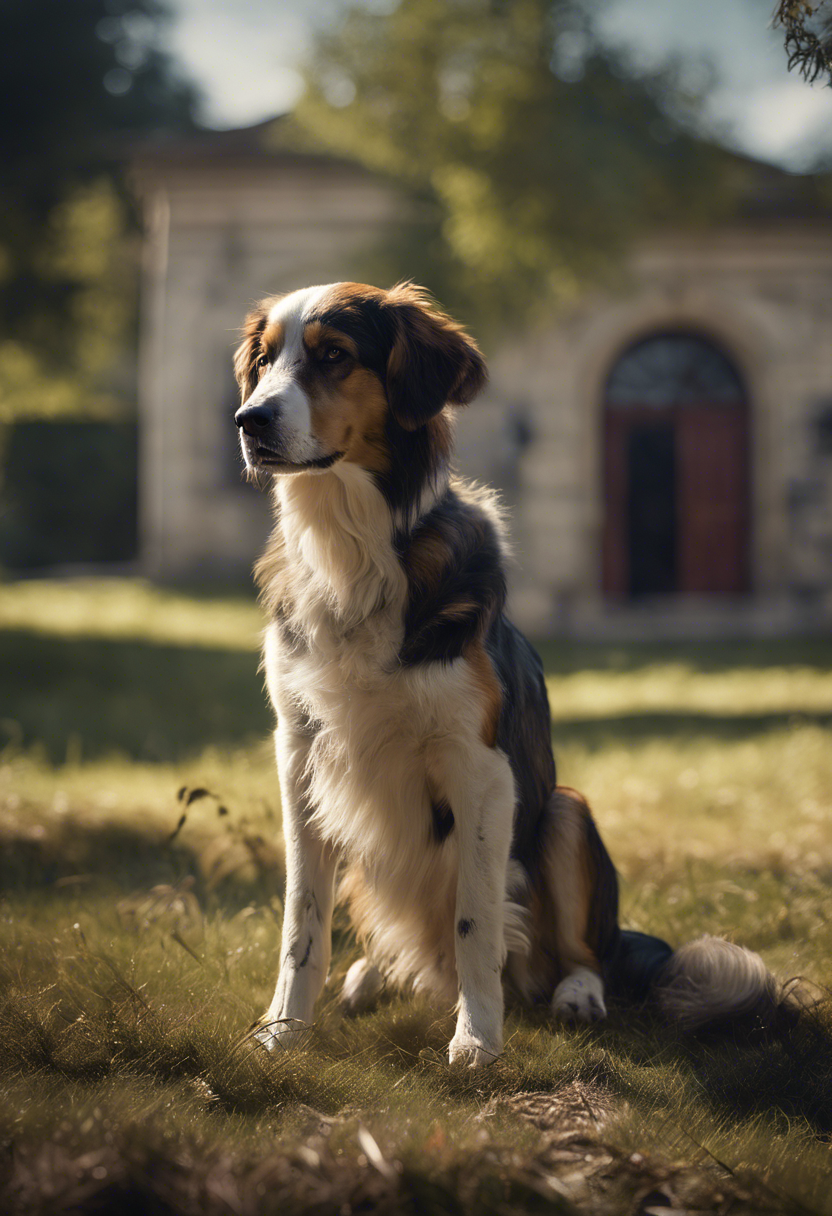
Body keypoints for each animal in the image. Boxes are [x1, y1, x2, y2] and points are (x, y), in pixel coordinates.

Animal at [232, 282, 788, 1065]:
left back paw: (576, 995)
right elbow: (300, 920)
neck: (351, 548)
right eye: (263, 361)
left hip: (567, 812)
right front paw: (283, 1030)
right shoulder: (301, 754)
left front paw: (477, 1041)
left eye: (334, 356)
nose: (248, 422)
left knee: (579, 953)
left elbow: (476, 920)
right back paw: (371, 977)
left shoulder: (482, 768)